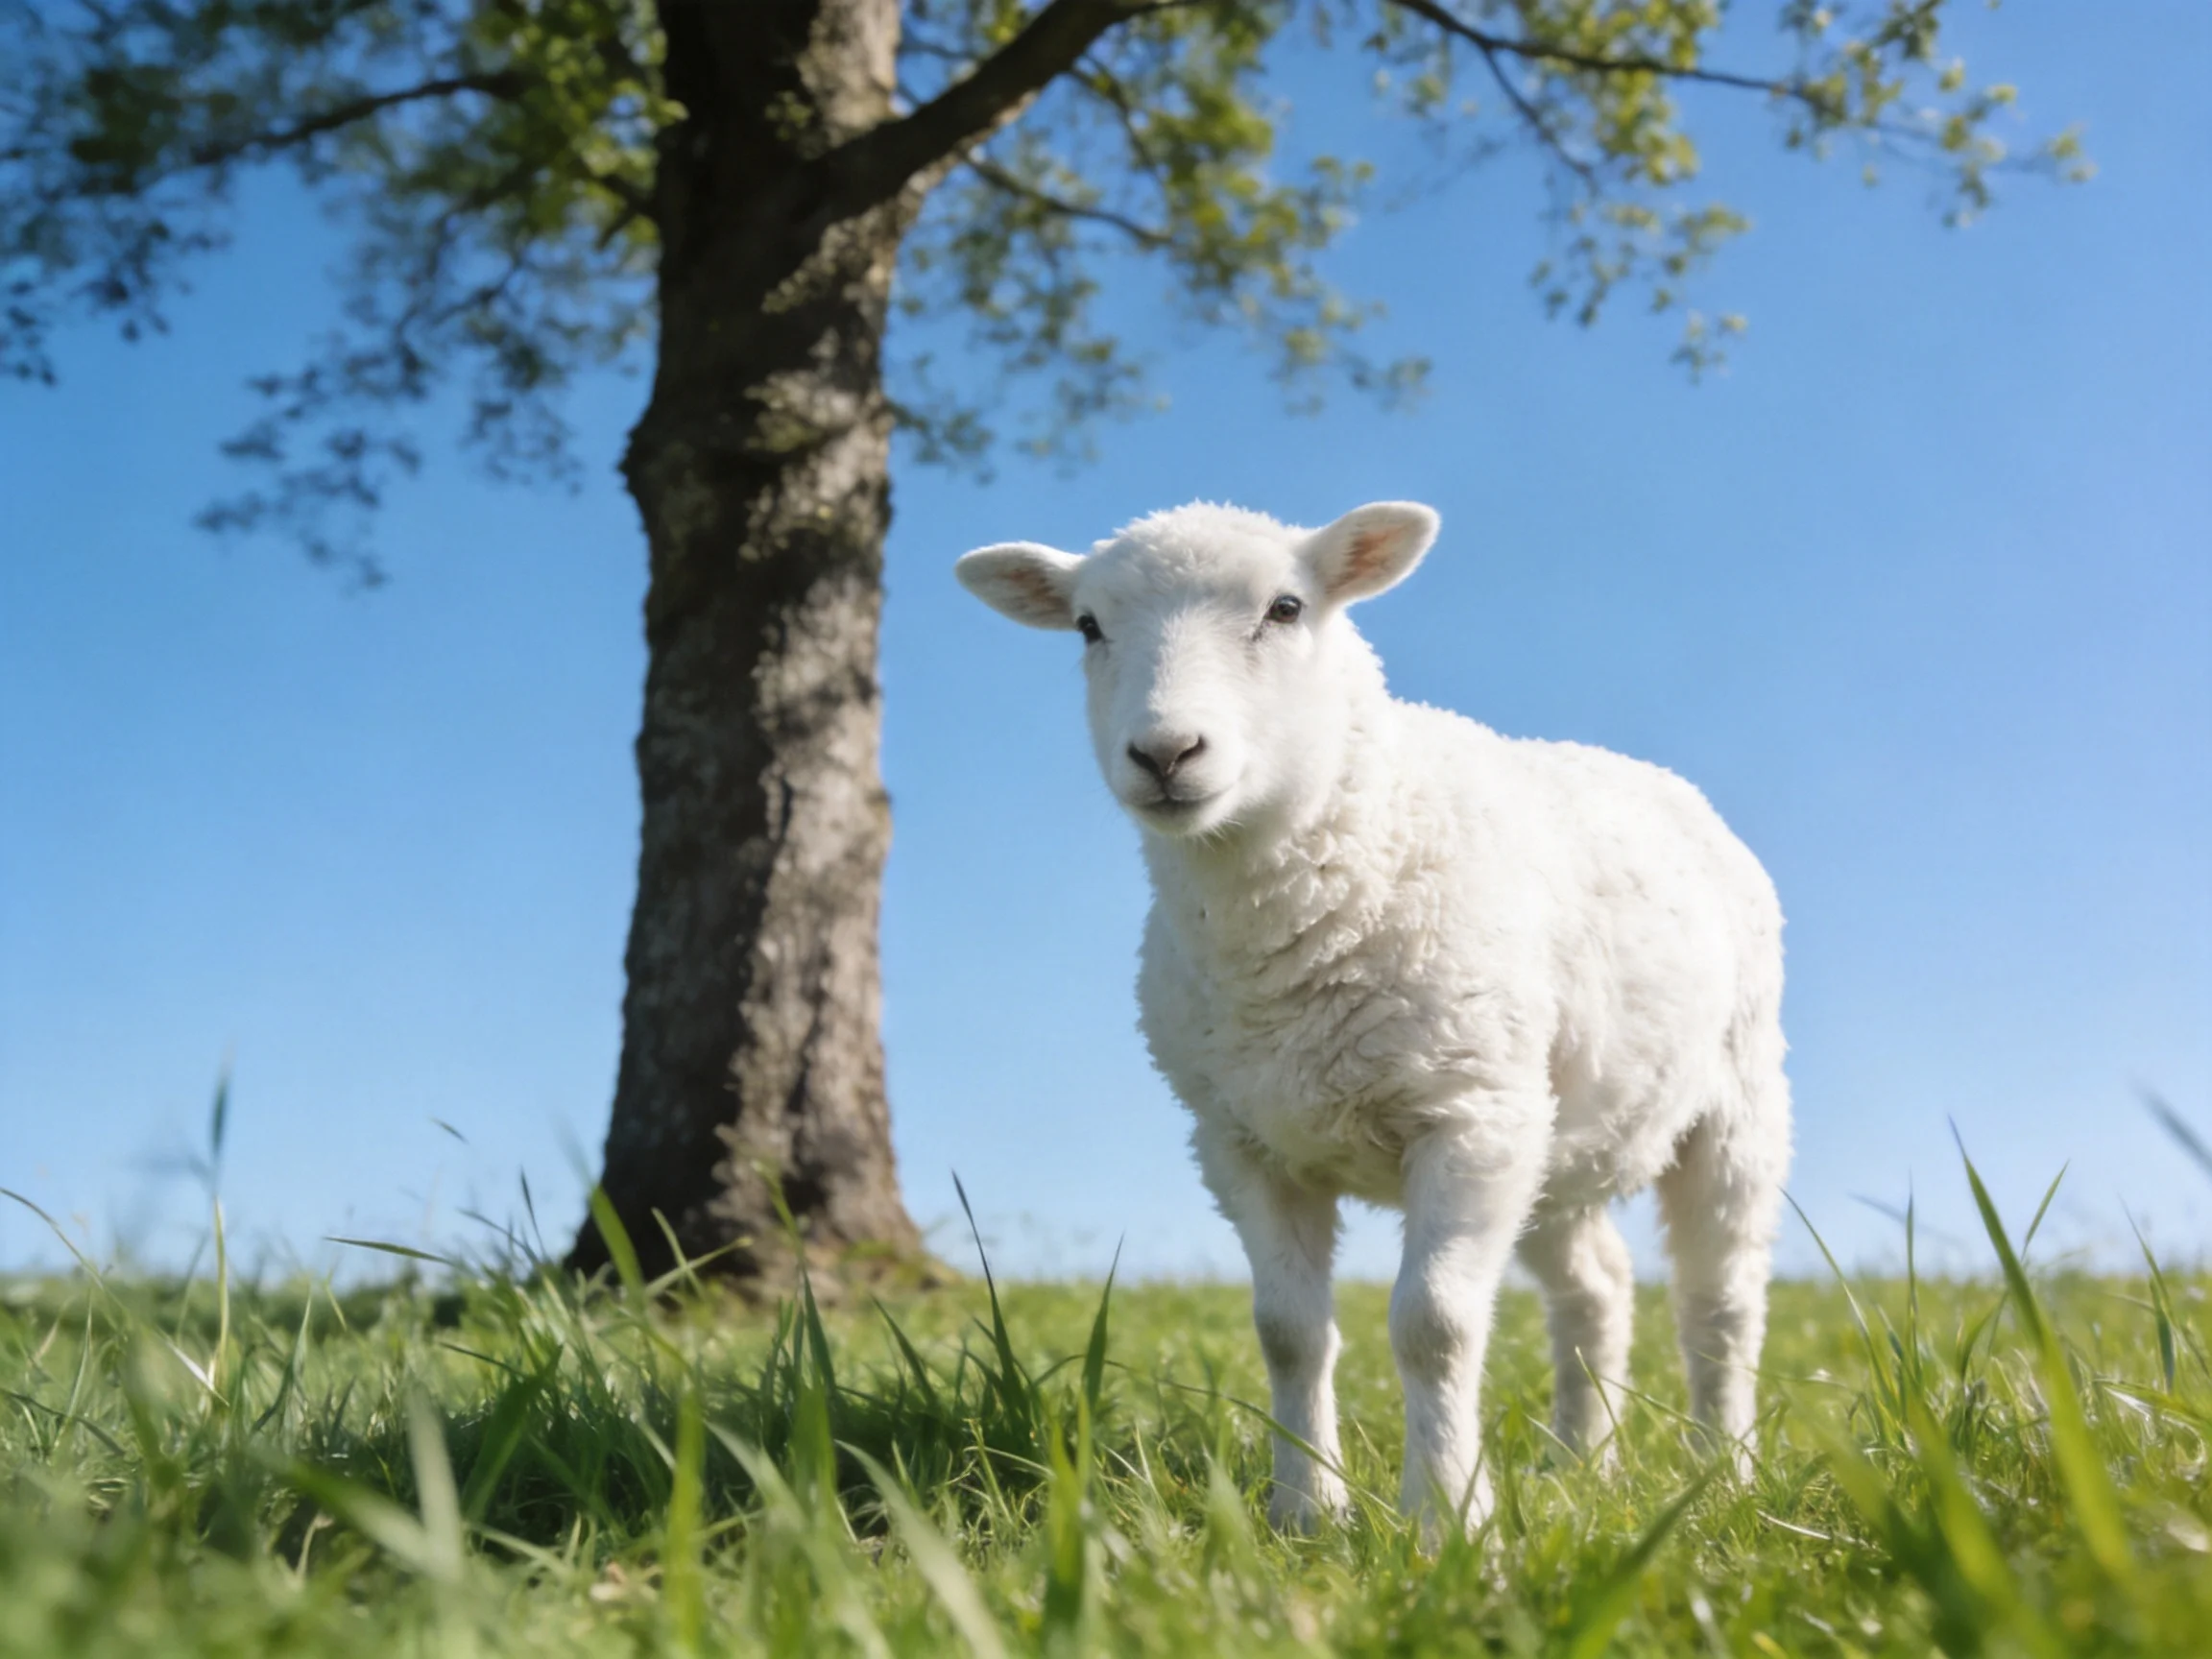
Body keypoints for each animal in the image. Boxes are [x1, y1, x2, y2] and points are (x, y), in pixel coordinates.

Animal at [955, 500, 1791, 1538]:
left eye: (1285, 607)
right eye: (1087, 627)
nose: (1164, 754)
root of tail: (1636, 768)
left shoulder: (1467, 1119)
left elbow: (1434, 1327)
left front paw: (1446, 1518)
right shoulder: (1240, 1141)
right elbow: (1287, 1332)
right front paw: (1307, 1513)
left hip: (1731, 1098)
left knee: (1721, 1301)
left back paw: (1727, 1473)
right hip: (1550, 1135)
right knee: (1596, 1288)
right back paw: (1578, 1468)